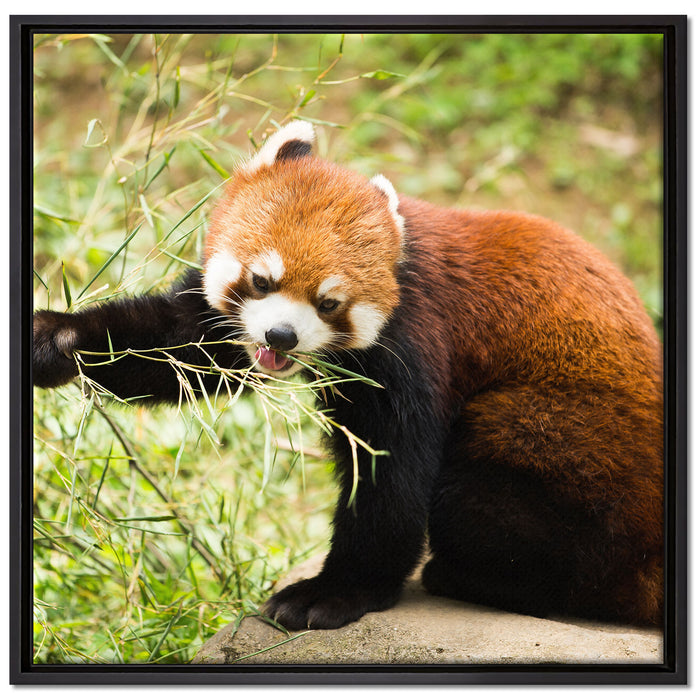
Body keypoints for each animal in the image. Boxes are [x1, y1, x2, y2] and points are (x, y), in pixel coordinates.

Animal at [33, 120, 664, 630]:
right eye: (262, 281)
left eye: (329, 302)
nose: (280, 337)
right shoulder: (222, 323)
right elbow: (180, 345)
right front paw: (57, 339)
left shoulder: (414, 345)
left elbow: (391, 477)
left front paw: (333, 594)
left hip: (558, 439)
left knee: (482, 493)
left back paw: (472, 577)